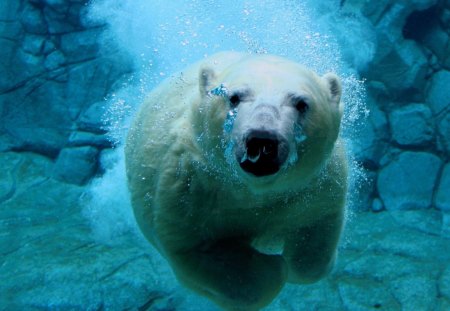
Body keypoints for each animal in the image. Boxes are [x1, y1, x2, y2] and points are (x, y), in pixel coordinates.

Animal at [125, 52, 348, 310]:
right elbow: (201, 252)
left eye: (302, 103)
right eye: (233, 97)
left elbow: (315, 236)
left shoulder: (314, 187)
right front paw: (273, 268)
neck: (250, 191)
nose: (262, 140)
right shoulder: (188, 189)